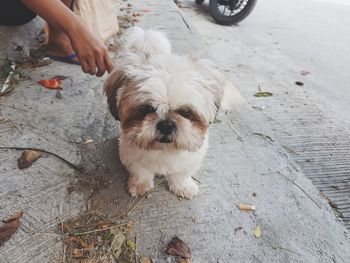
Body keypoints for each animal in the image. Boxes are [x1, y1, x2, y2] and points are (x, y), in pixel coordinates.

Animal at [102, 27, 231, 200]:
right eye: (146, 109)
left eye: (186, 112)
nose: (166, 124)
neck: (164, 150)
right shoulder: (130, 154)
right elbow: (140, 171)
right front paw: (140, 185)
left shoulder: (191, 158)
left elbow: (181, 173)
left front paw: (183, 185)